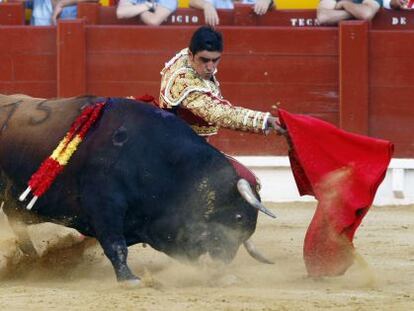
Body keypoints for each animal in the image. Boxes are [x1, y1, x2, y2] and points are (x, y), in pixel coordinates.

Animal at [0, 94, 274, 286]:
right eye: (237, 217)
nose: (222, 264)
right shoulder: (104, 206)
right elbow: (115, 245)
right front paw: (130, 279)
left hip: (33, 204)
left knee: (14, 215)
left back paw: (32, 260)